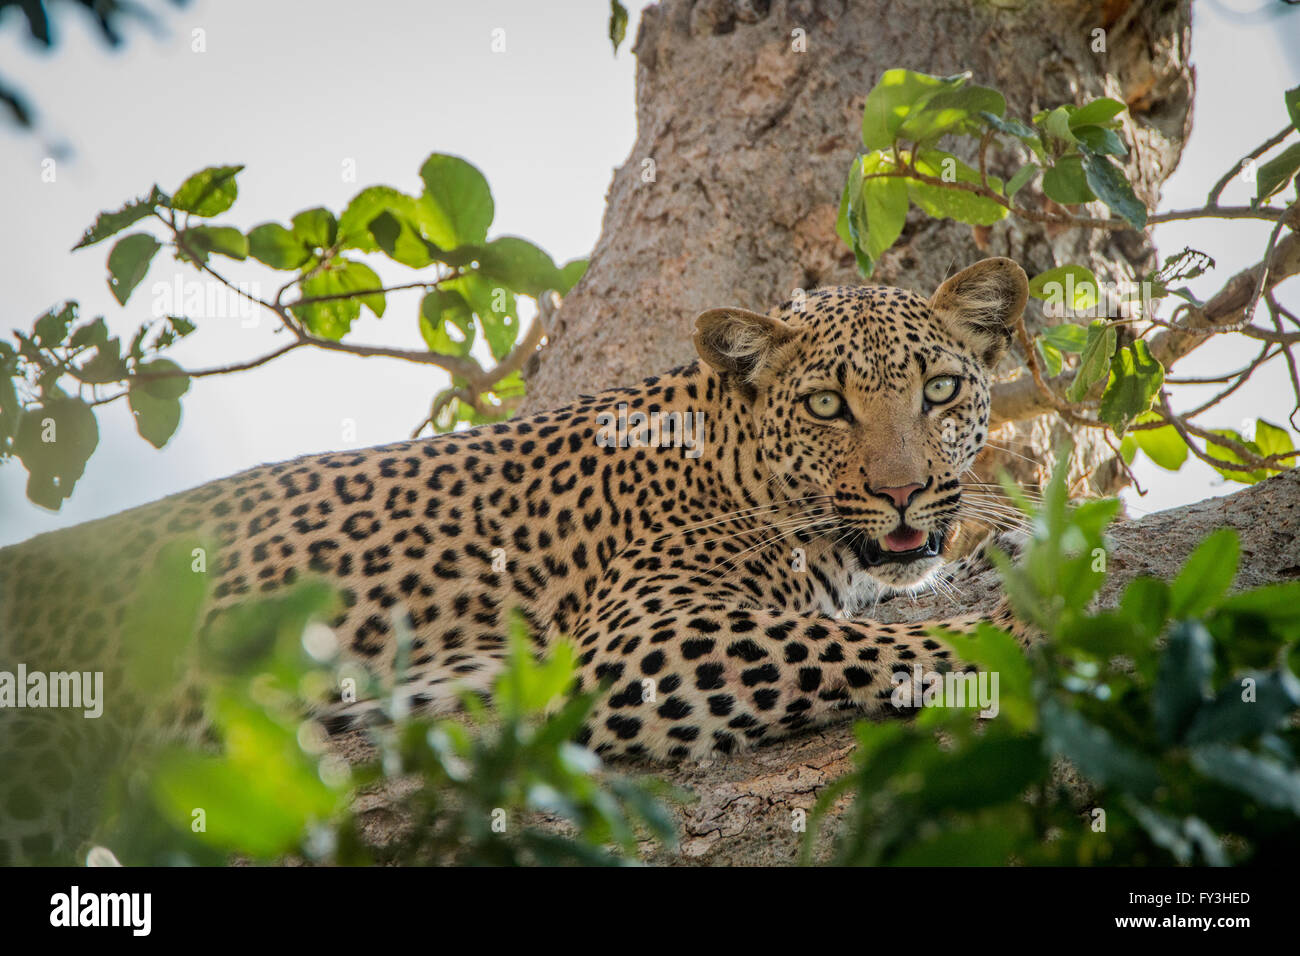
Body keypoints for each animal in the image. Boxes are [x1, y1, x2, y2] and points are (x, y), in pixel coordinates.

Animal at [0, 256, 1030, 863]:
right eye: (827, 406)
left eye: (941, 391)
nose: (904, 492)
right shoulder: (640, 644)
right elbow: (877, 644)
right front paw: (1021, 624)